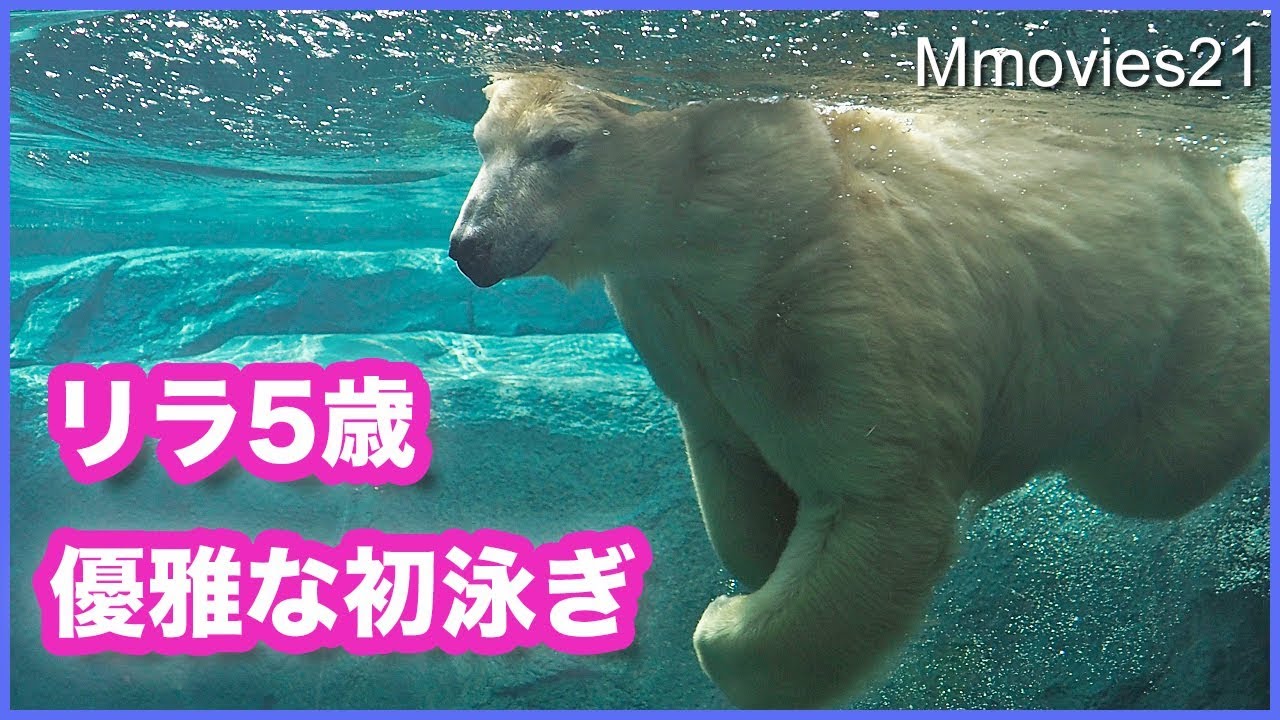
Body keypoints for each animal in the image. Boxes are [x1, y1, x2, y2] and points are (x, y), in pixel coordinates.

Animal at [448, 73, 1270, 709]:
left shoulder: (840, 301)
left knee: (1161, 461)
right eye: (483, 142)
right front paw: (755, 565)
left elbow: (875, 498)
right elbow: (736, 470)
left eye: (559, 145)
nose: (470, 246)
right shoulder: (685, 339)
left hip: (1185, 317)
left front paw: (724, 617)